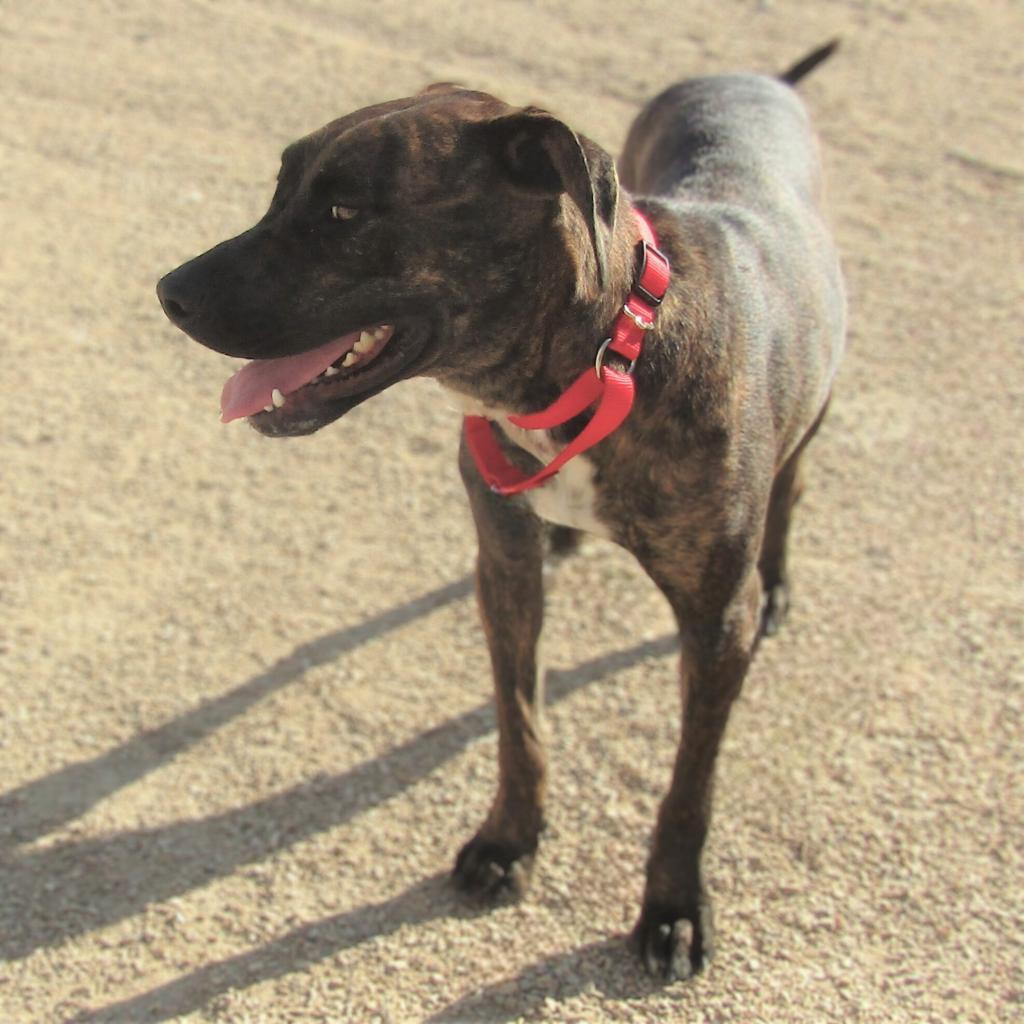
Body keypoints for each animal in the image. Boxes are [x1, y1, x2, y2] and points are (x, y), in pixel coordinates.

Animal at [157, 41, 847, 983]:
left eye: (343, 210)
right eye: (282, 190)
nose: (169, 291)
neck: (601, 361)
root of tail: (762, 80)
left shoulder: (715, 625)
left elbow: (689, 786)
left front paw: (673, 907)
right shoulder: (504, 564)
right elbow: (520, 726)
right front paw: (509, 843)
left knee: (796, 487)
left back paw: (779, 579)